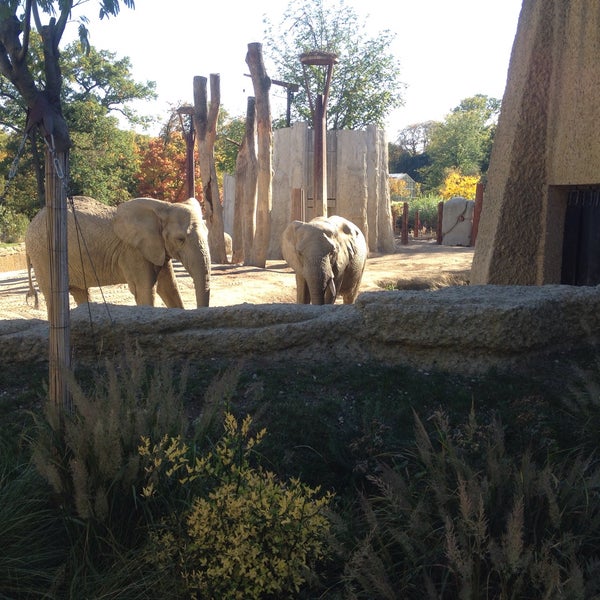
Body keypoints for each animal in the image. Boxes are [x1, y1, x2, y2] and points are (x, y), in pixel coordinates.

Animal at [26, 196, 213, 314]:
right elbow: (145, 289)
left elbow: (169, 287)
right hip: (42, 256)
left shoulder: (156, 248)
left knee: (80, 293)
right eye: (180, 239)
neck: (163, 206)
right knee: (54, 297)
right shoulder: (133, 252)